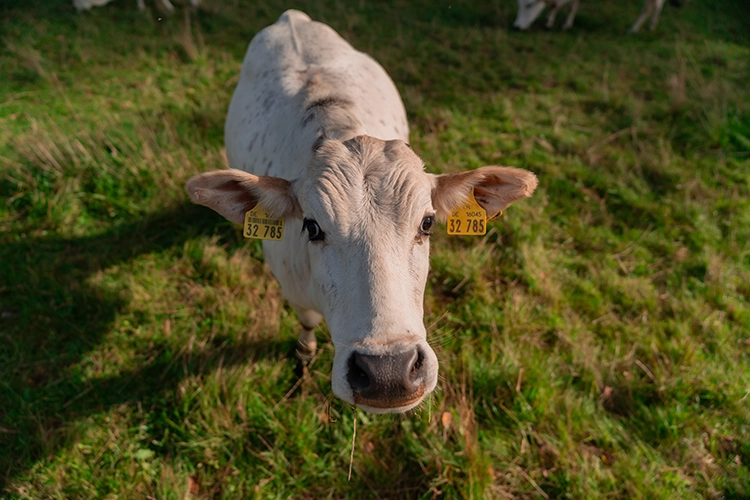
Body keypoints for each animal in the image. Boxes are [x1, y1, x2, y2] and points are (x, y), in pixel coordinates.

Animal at [188, 10, 540, 414]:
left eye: (427, 223)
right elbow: (306, 323)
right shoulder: (294, 291)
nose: (389, 373)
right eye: (311, 227)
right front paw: (304, 353)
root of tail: (293, 17)